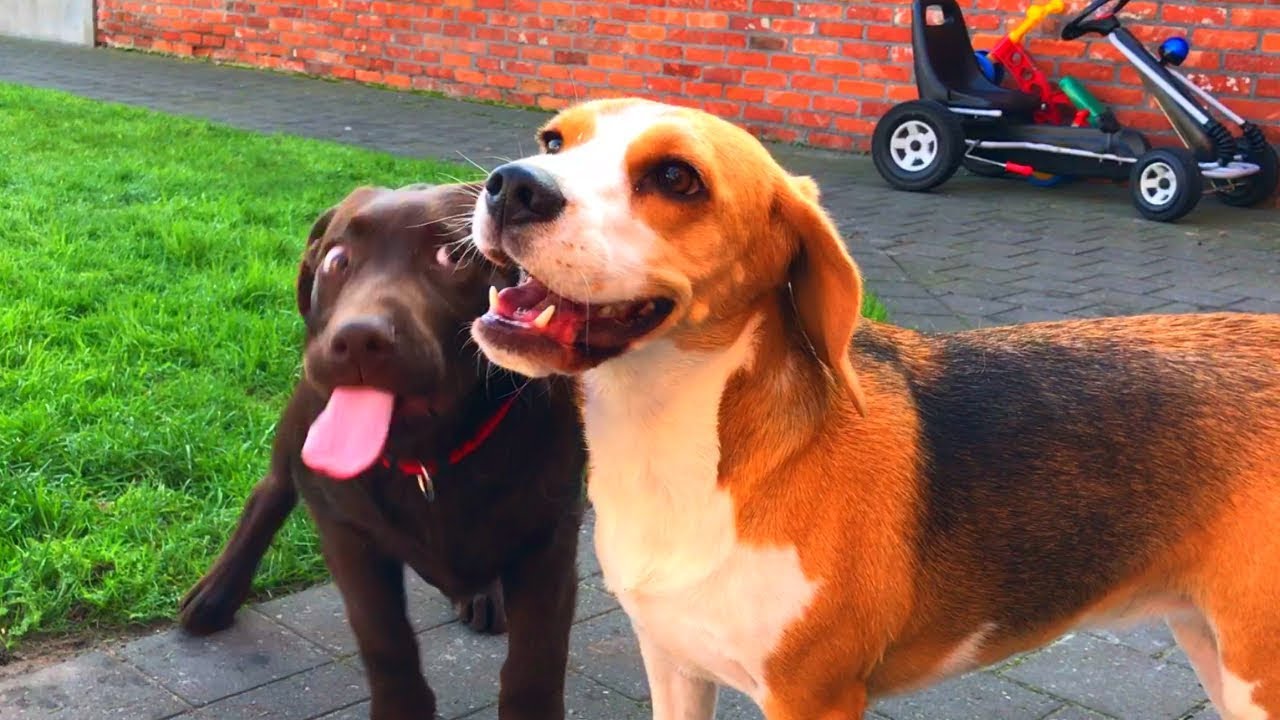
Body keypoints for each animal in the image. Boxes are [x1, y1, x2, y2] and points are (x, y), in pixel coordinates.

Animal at [471, 96, 1280, 717]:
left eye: (676, 177)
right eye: (554, 141)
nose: (511, 186)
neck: (686, 441)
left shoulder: (813, 696)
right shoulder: (674, 666)